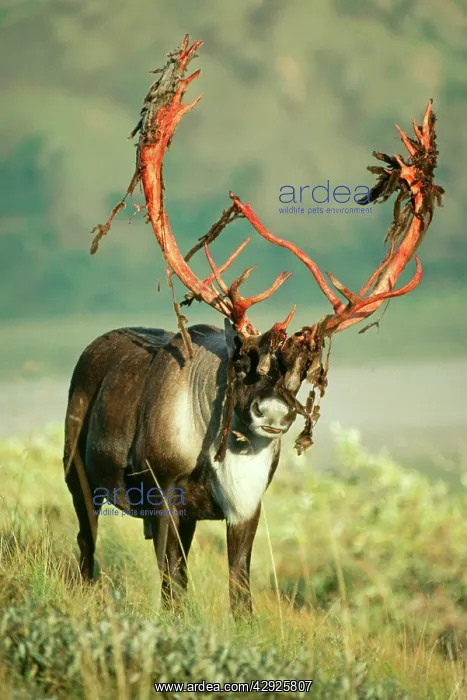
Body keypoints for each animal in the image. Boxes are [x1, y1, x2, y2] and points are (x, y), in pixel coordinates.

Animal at [63, 36, 443, 617]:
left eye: (304, 372)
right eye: (242, 360)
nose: (274, 414)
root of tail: (93, 346)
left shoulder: (246, 507)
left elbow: (238, 589)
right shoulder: (164, 493)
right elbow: (171, 586)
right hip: (77, 472)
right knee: (87, 543)